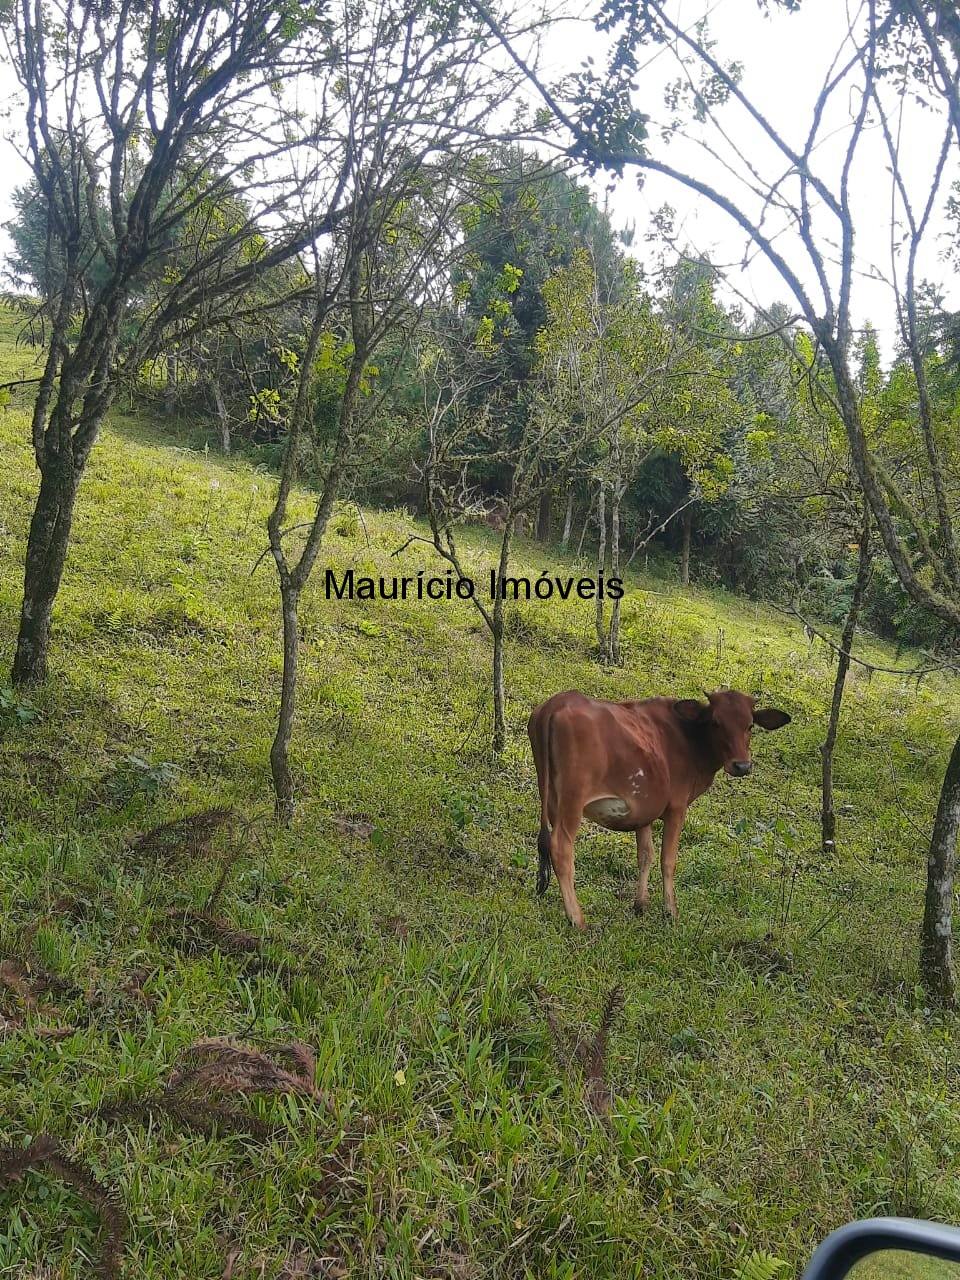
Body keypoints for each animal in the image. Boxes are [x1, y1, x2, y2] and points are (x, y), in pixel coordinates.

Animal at [529, 696, 793, 926]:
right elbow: (668, 860)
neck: (688, 739)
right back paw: (577, 919)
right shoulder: (677, 808)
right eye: (716, 722)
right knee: (561, 848)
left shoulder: (644, 810)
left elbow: (646, 855)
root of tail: (557, 702)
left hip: (550, 796)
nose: (742, 765)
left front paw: (640, 905)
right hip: (572, 800)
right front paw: (670, 910)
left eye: (750, 725)